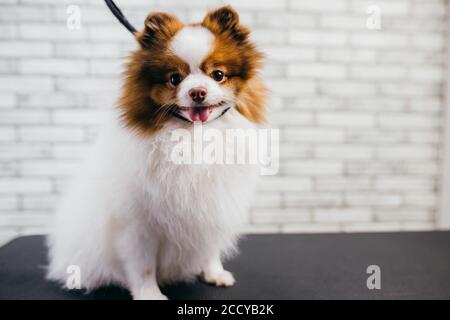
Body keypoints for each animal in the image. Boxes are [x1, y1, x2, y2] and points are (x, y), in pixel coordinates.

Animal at [45, 5, 266, 300]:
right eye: (175, 79)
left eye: (218, 75)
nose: (198, 92)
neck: (193, 138)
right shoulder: (139, 224)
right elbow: (143, 264)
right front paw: (149, 294)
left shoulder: (211, 210)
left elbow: (209, 247)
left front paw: (214, 273)